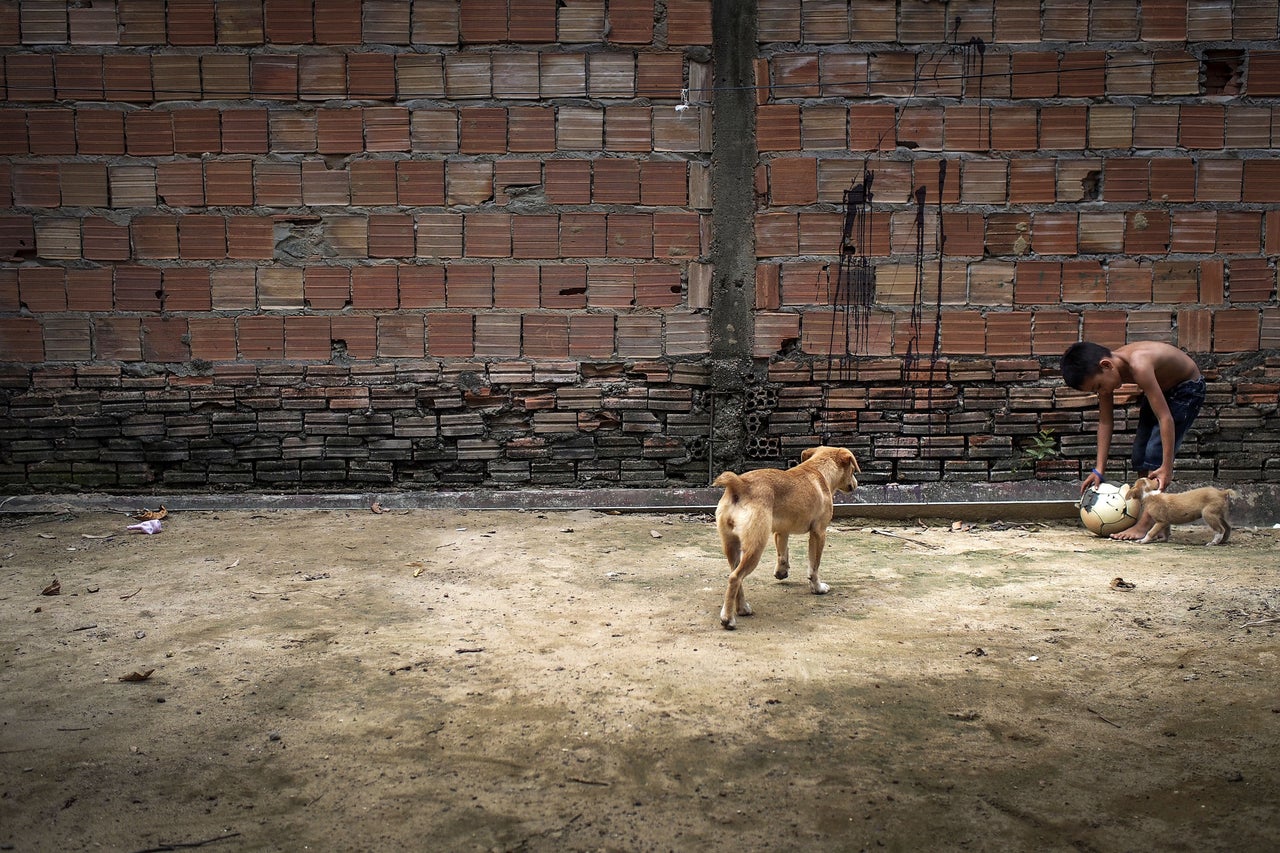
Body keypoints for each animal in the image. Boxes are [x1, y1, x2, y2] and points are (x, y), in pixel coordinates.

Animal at [711, 440, 860, 627]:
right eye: (853, 470)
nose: (856, 484)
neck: (818, 470)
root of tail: (739, 483)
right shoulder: (819, 533)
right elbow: (814, 566)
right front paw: (817, 588)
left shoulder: (782, 531)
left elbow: (783, 553)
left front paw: (781, 572)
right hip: (755, 547)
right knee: (735, 578)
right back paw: (728, 618)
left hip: (731, 546)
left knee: (735, 574)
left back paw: (742, 608)